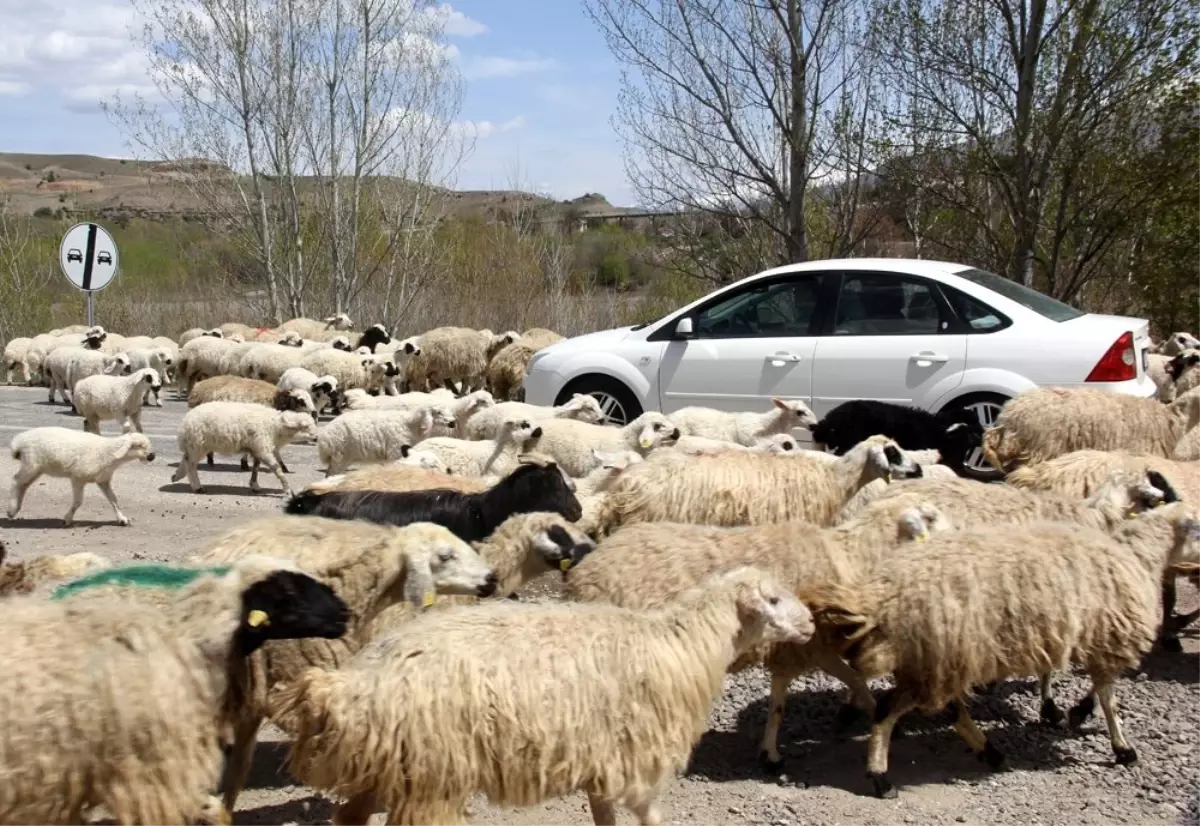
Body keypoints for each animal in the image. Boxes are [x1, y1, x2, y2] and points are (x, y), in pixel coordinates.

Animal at [7, 429, 157, 525]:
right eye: (138, 446)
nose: (152, 456)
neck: (108, 452)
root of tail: (18, 441)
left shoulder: (103, 480)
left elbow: (114, 500)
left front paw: (122, 519)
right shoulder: (78, 477)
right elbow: (78, 502)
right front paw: (67, 519)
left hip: (37, 469)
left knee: (23, 485)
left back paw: (15, 509)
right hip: (31, 464)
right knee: (16, 480)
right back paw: (11, 510)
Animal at [174, 400, 316, 494]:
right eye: (305, 427)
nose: (316, 438)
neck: (275, 427)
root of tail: (185, 421)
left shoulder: (257, 448)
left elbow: (256, 468)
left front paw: (254, 485)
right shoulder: (263, 448)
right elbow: (277, 469)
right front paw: (287, 489)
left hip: (194, 445)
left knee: (186, 459)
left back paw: (177, 476)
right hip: (198, 444)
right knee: (191, 465)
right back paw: (197, 486)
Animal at [276, 564, 811, 826]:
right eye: (773, 600)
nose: (809, 623)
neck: (683, 641)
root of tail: (350, 684)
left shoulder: (603, 762)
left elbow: (605, 819)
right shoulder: (636, 762)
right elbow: (651, 817)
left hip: (393, 765)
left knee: (349, 818)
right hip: (435, 776)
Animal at [314, 408, 451, 475]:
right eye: (438, 412)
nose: (452, 422)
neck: (411, 424)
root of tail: (323, 439)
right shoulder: (395, 452)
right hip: (340, 456)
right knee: (332, 474)